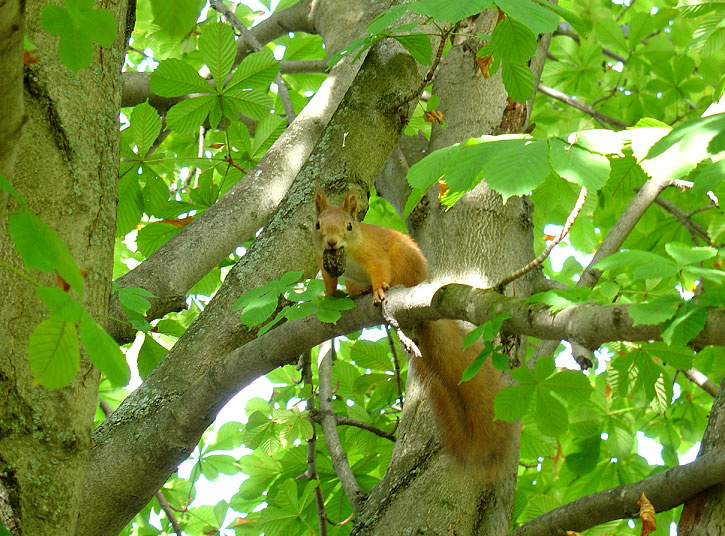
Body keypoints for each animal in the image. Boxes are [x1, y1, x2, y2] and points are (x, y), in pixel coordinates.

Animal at [313, 188, 512, 478]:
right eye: (317, 224)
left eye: (349, 226)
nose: (330, 242)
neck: (347, 253)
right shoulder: (323, 261)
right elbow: (329, 281)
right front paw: (327, 299)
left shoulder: (373, 255)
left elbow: (379, 270)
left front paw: (378, 290)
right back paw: (357, 292)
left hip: (403, 260)